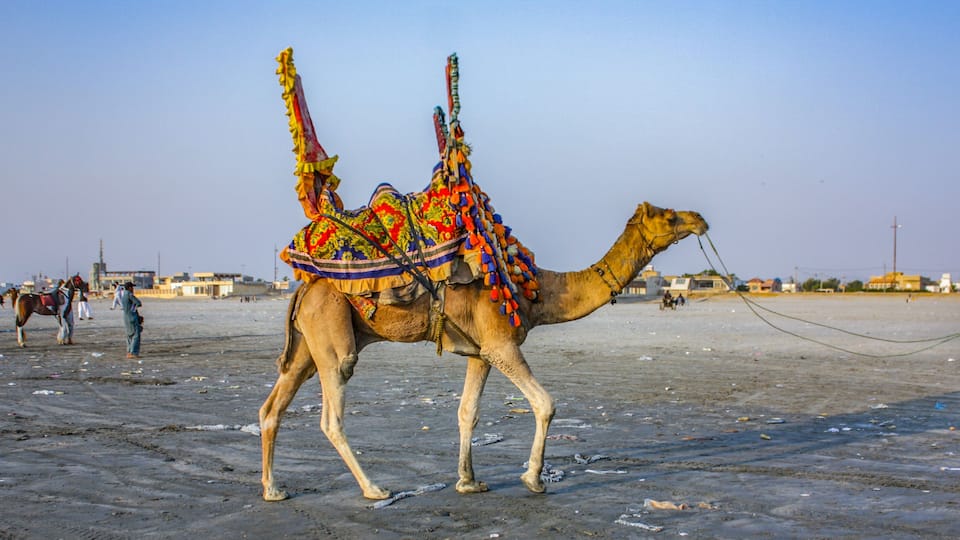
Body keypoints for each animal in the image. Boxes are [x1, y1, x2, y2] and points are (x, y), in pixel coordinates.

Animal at [258, 201, 708, 501]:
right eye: (669, 216)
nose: (700, 218)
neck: (536, 291)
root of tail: (302, 289)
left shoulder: (480, 352)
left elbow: (467, 413)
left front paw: (468, 481)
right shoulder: (501, 343)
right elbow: (545, 404)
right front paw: (533, 478)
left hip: (307, 344)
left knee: (272, 407)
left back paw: (273, 489)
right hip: (332, 334)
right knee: (332, 412)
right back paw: (374, 488)